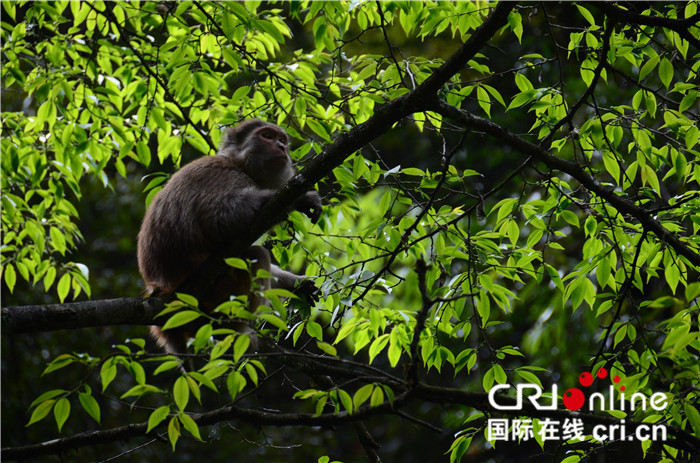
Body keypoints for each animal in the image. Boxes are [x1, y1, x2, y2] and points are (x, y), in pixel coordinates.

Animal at [137, 119, 322, 356]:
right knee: (255, 254)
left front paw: (298, 284)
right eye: (267, 136)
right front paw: (298, 200)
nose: (281, 147)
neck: (237, 163)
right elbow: (218, 216)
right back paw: (235, 330)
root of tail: (162, 290)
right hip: (212, 293)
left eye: (282, 139)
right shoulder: (225, 176)